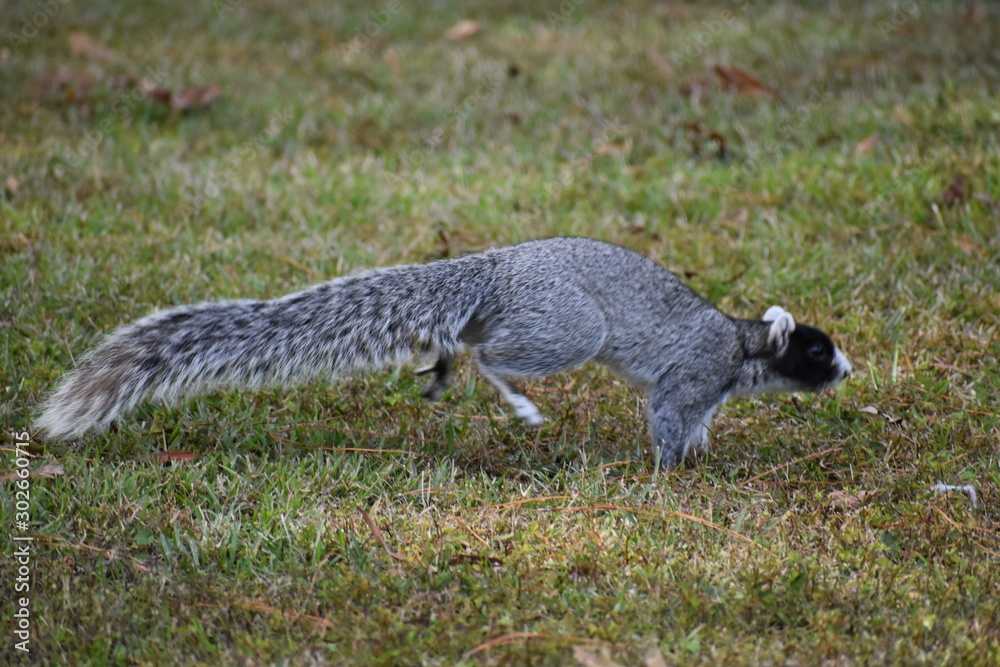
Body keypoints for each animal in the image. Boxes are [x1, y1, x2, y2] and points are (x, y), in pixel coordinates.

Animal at [36, 237, 851, 467]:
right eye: (816, 351)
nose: (848, 368)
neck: (742, 345)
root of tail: (496, 268)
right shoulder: (691, 376)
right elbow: (671, 419)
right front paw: (674, 471)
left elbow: (701, 421)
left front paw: (704, 453)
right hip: (568, 325)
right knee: (497, 352)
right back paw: (512, 394)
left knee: (468, 338)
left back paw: (447, 364)